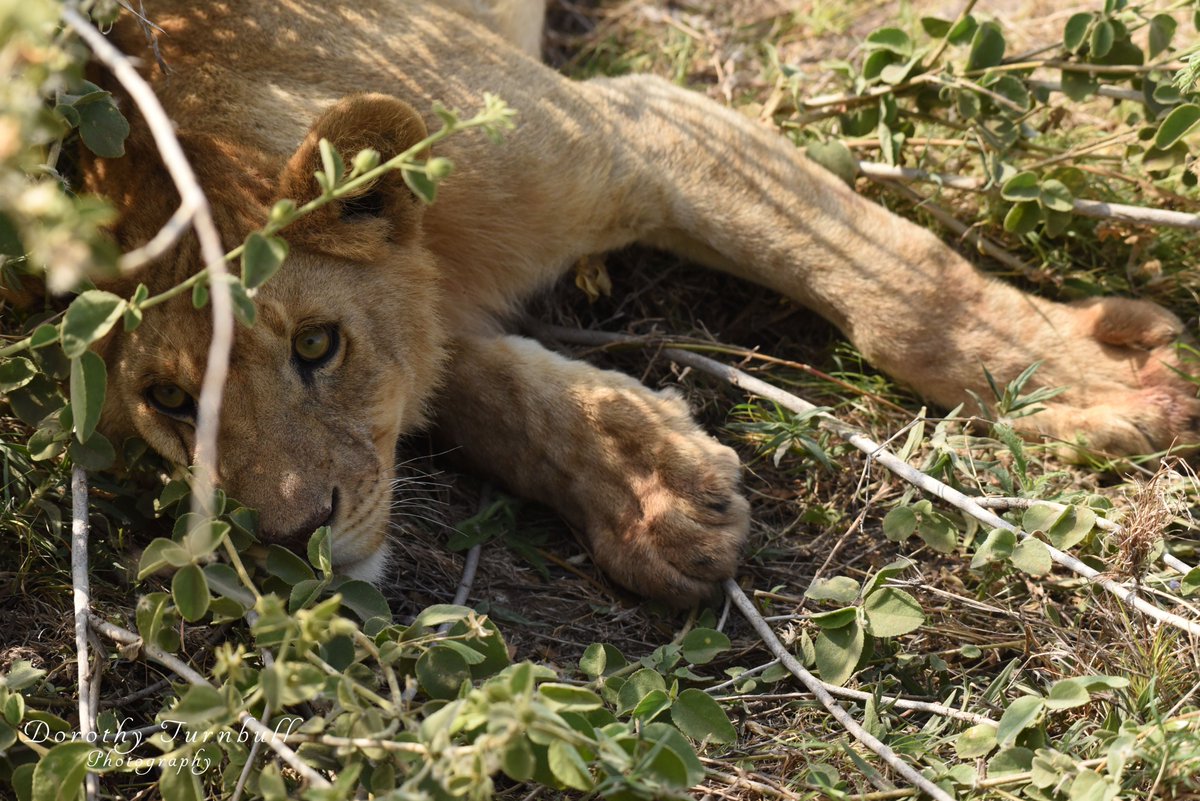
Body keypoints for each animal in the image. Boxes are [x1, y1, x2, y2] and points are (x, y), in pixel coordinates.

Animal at [77, 0, 1200, 599]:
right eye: (169, 401)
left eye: (316, 345)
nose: (288, 540)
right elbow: (482, 392)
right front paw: (647, 487)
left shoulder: (640, 122)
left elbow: (901, 287)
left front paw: (1097, 385)